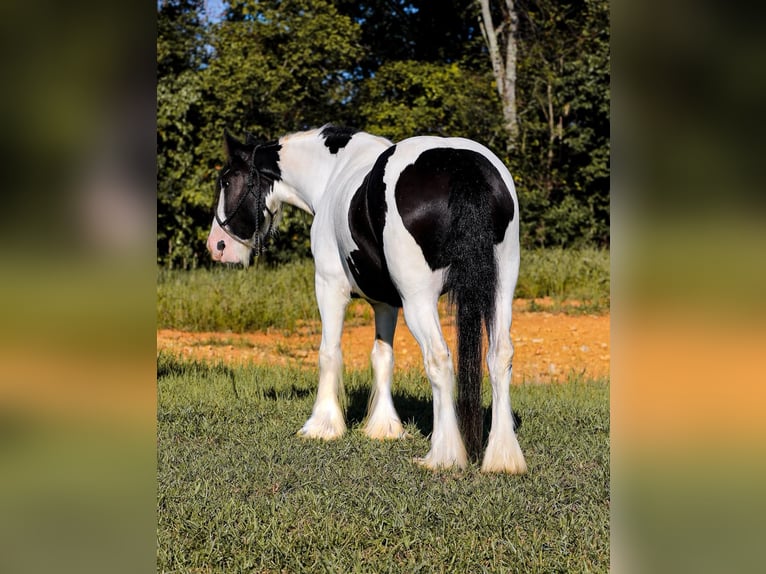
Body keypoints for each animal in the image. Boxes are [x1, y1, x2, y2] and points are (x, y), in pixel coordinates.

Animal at [204, 124, 528, 474]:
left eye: (226, 181)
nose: (217, 246)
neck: (331, 172)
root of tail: (460, 166)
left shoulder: (329, 286)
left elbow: (328, 352)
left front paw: (322, 425)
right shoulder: (386, 302)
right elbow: (382, 357)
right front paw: (384, 427)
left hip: (419, 300)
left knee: (439, 359)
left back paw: (443, 456)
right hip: (500, 288)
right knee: (500, 355)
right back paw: (503, 457)